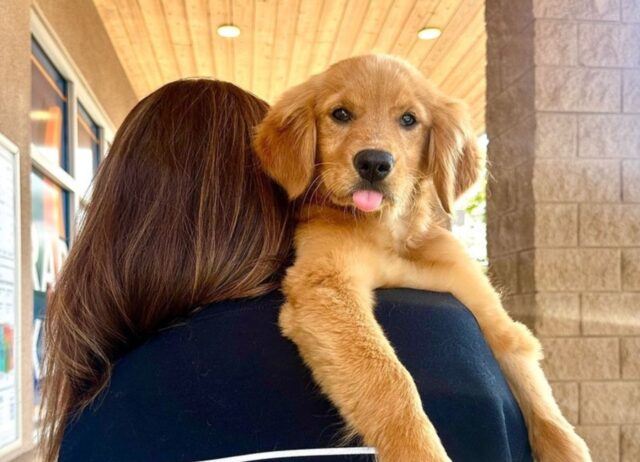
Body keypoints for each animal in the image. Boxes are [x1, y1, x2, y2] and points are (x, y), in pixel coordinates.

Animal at [251, 55, 592, 462]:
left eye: (409, 120)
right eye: (341, 113)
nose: (374, 163)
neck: (390, 234)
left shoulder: (481, 303)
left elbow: (546, 407)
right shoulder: (325, 284)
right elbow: (388, 377)